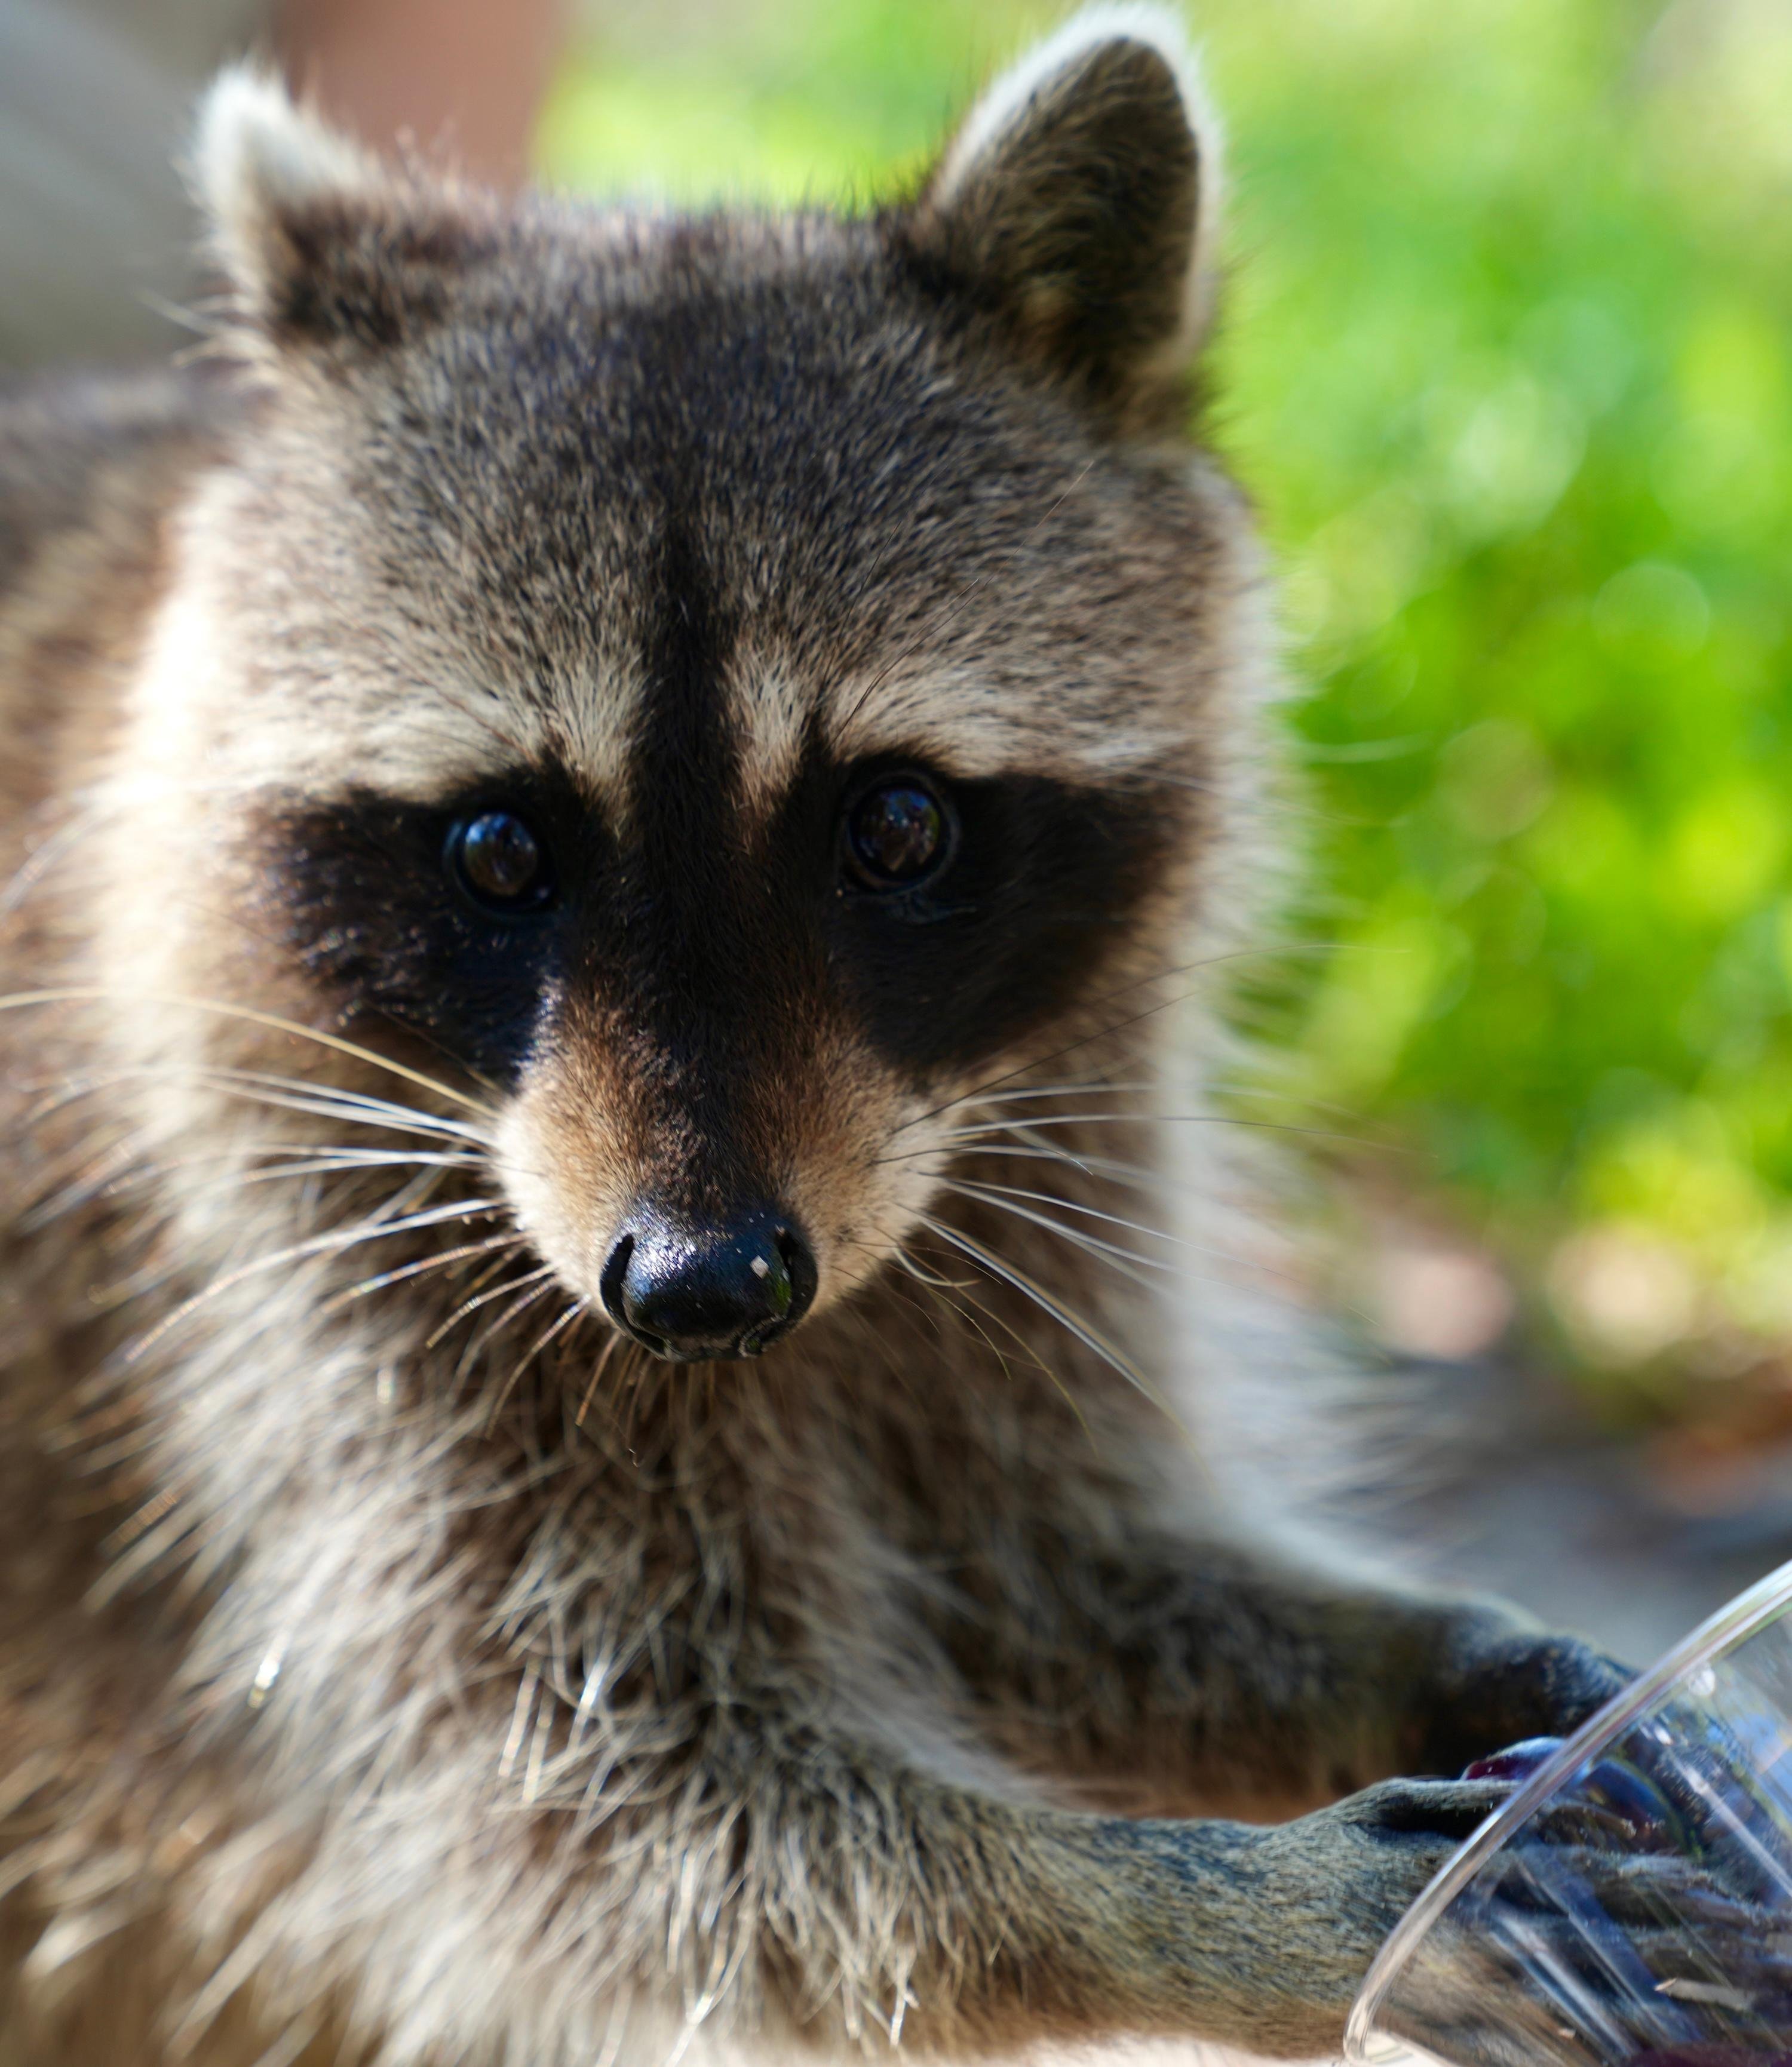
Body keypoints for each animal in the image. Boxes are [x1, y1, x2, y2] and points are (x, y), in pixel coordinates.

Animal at [0, 10, 1649, 2063]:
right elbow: (637, 1811)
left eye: (899, 824)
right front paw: (1197, 1904)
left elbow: (1050, 1574)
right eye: (497, 848)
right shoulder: (276, 1296)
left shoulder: (1046, 1148)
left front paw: (1422, 1650)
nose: (703, 1285)